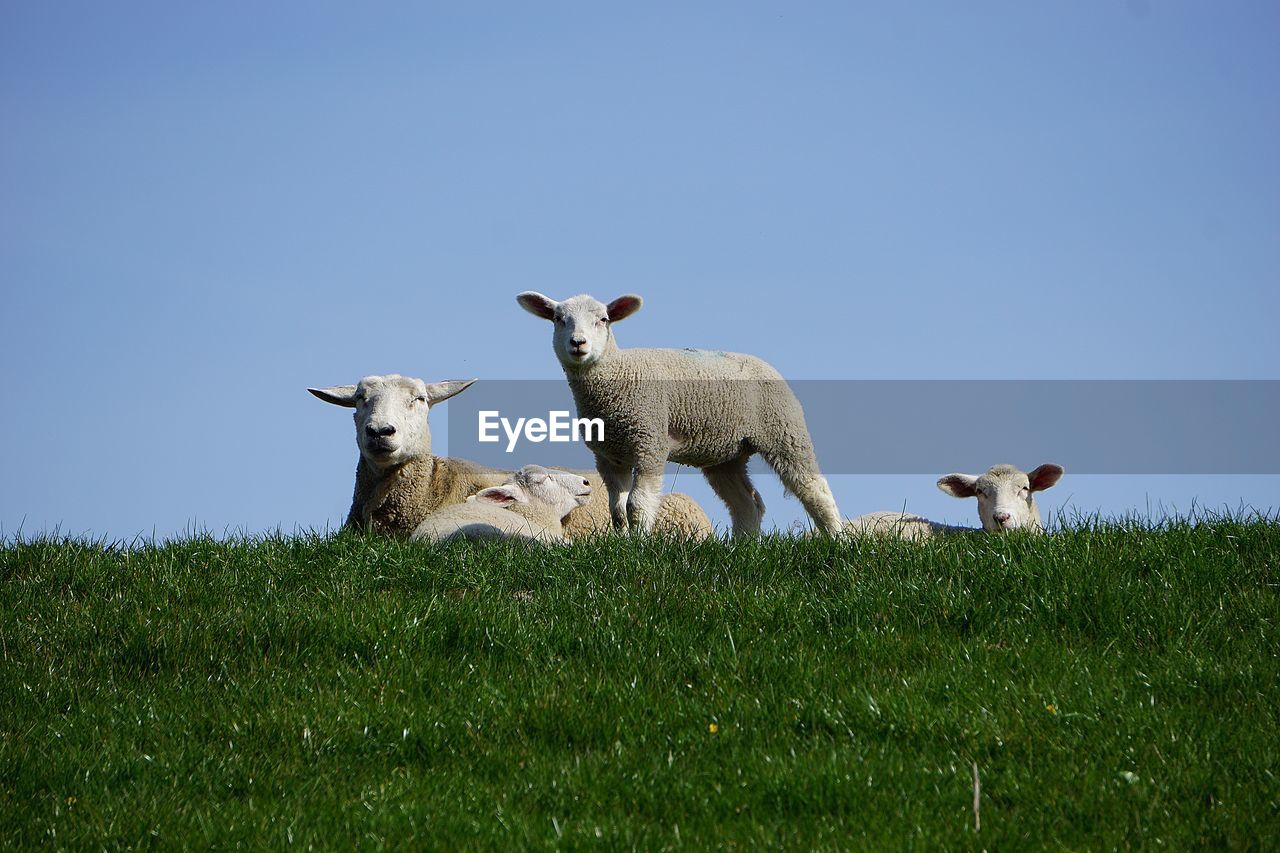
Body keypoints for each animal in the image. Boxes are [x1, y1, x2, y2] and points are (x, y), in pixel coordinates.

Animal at [514, 289, 844, 535]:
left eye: (604, 320)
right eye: (558, 319)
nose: (578, 343)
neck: (617, 375)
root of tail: (766, 365)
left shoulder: (649, 442)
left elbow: (637, 504)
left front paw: (639, 545)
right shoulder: (609, 456)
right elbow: (617, 510)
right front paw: (621, 543)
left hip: (783, 430)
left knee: (815, 490)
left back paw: (836, 539)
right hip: (725, 455)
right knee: (747, 504)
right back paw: (743, 547)